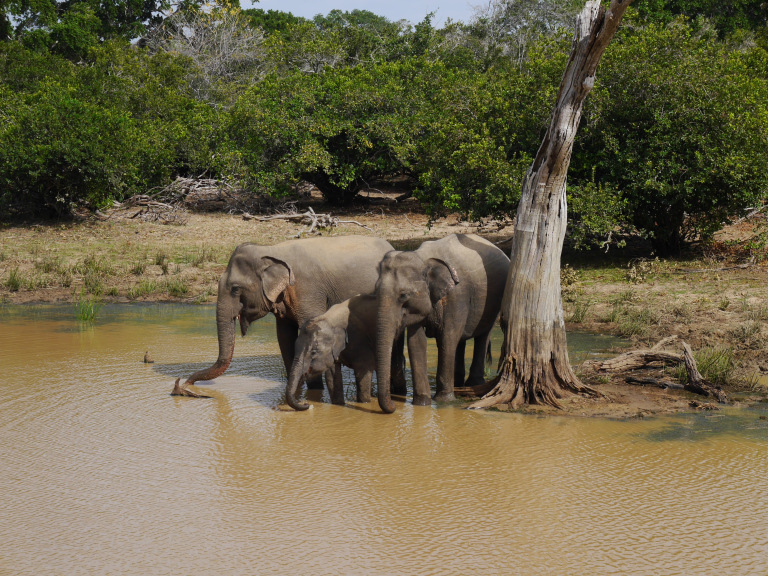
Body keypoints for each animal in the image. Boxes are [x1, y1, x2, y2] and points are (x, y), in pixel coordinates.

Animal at [172, 236, 404, 398]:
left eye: (236, 289)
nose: (183, 386)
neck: (270, 250)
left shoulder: (308, 290)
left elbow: (308, 327)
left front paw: (313, 393)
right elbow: (284, 337)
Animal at [374, 232, 510, 412]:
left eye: (404, 295)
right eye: (375, 291)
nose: (395, 406)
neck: (423, 258)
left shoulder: (456, 296)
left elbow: (447, 338)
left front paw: (444, 401)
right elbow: (416, 343)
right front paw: (422, 403)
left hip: (496, 301)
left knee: (482, 337)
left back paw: (472, 384)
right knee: (461, 341)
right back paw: (458, 384)